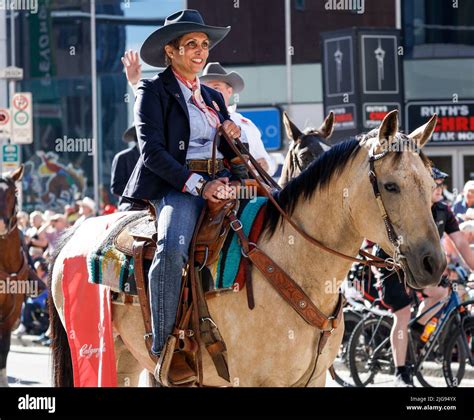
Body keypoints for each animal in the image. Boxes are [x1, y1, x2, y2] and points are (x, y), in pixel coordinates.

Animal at [50, 111, 446, 388]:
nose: (433, 263)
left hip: (129, 358)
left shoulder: (313, 379)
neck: (294, 263)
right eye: (391, 186)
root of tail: (73, 237)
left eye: (430, 185)